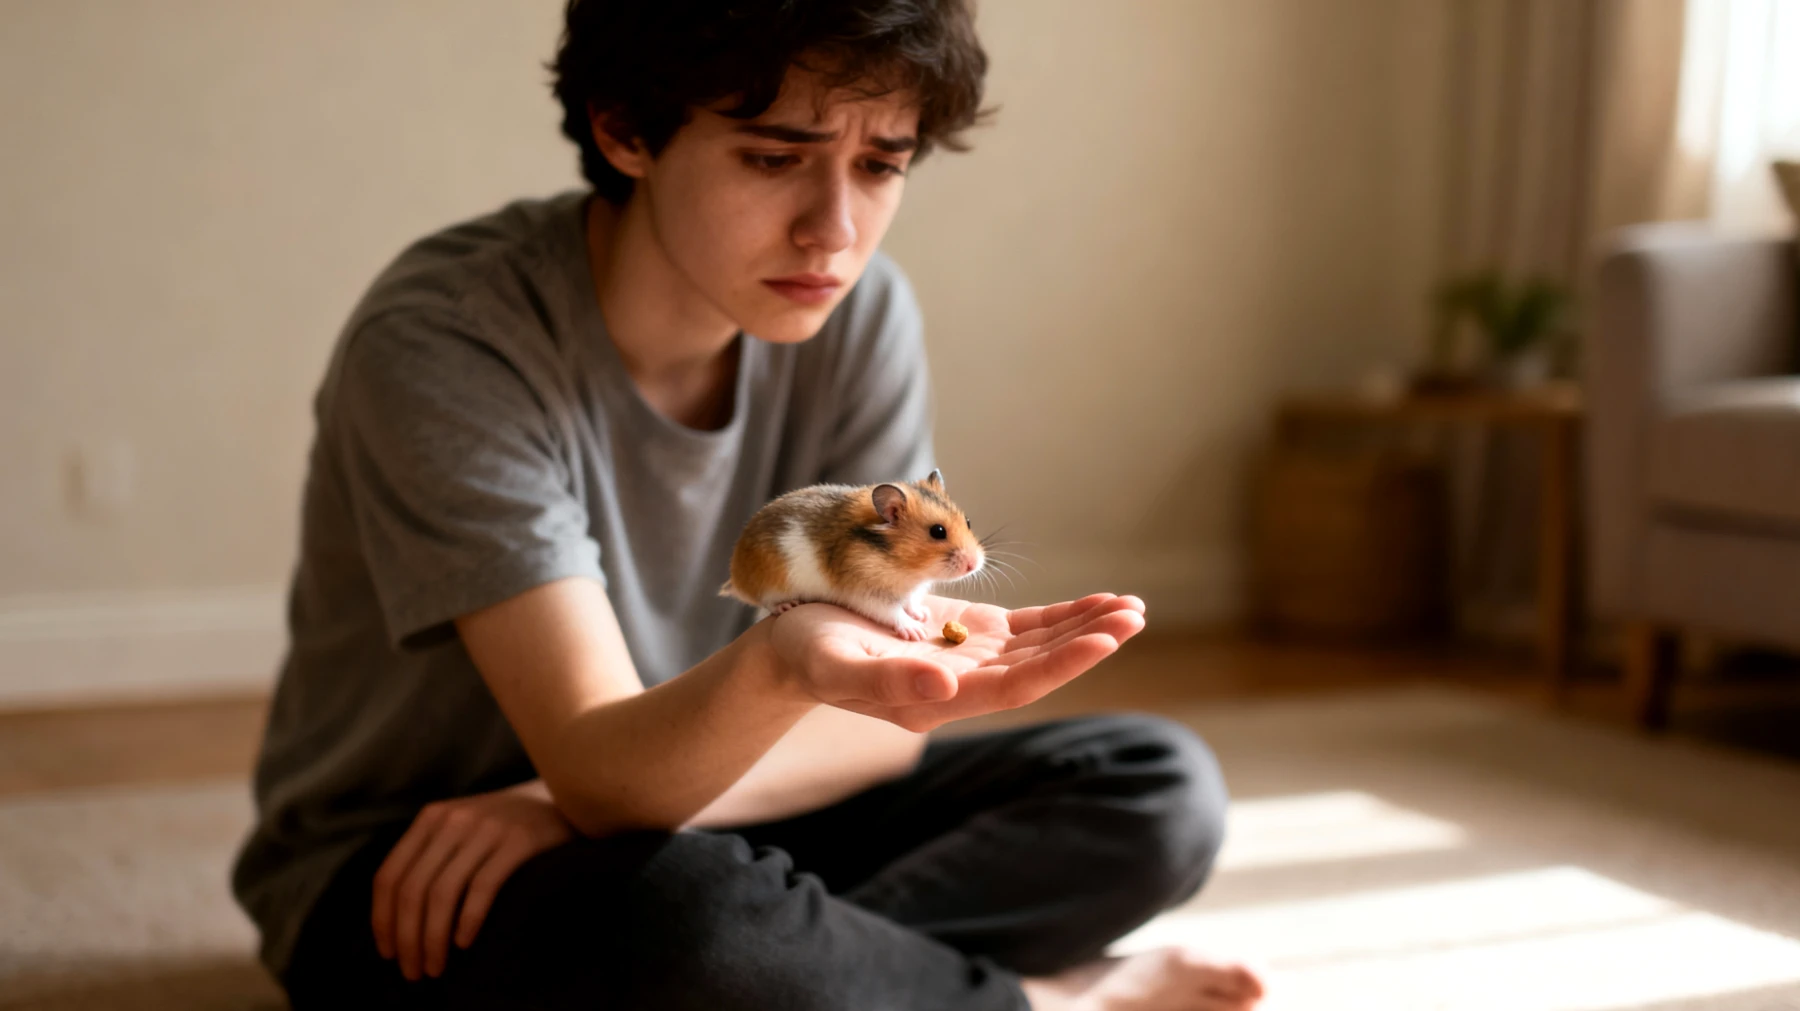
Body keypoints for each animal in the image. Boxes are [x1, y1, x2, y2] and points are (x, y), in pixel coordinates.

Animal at [720, 469, 986, 640]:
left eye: (968, 522)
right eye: (938, 531)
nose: (974, 565)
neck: (906, 568)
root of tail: (736, 578)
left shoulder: (910, 591)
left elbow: (910, 603)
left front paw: (922, 614)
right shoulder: (867, 593)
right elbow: (892, 612)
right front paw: (916, 631)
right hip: (769, 583)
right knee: (765, 600)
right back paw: (787, 605)